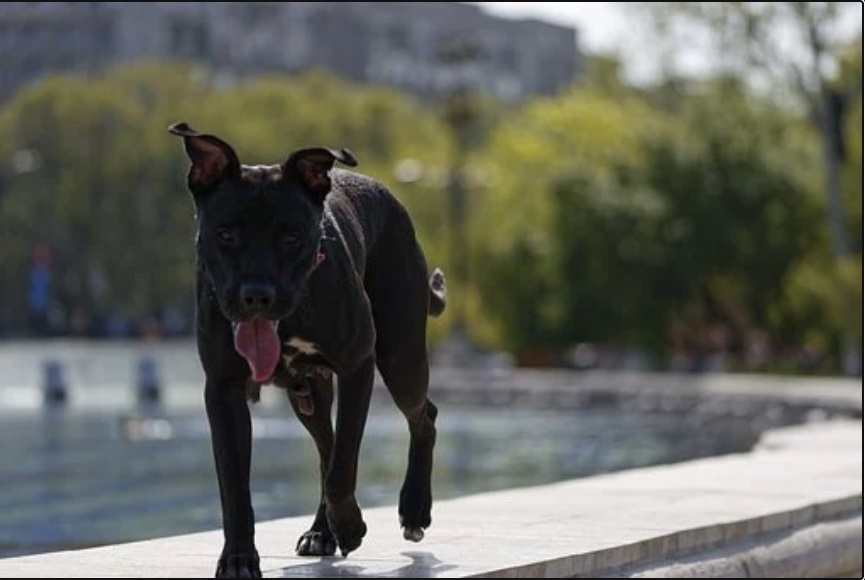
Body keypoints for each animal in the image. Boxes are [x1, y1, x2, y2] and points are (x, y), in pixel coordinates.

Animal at [169, 121, 446, 576]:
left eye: (291, 237)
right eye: (226, 235)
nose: (257, 295)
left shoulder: (358, 365)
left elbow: (343, 466)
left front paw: (349, 526)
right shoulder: (223, 389)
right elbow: (235, 486)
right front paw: (239, 558)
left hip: (400, 357)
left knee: (423, 417)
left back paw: (414, 508)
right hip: (307, 395)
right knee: (325, 446)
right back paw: (322, 530)